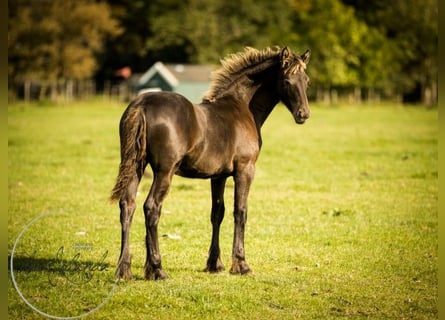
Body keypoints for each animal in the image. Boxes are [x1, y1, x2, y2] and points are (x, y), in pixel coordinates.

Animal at [111, 46, 310, 278]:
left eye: (306, 80)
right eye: (287, 80)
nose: (303, 114)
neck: (242, 108)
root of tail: (142, 105)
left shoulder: (218, 176)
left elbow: (217, 213)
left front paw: (215, 264)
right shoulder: (245, 170)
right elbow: (240, 211)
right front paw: (241, 264)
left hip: (136, 166)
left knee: (128, 205)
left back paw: (125, 269)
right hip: (164, 171)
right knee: (151, 207)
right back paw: (157, 269)